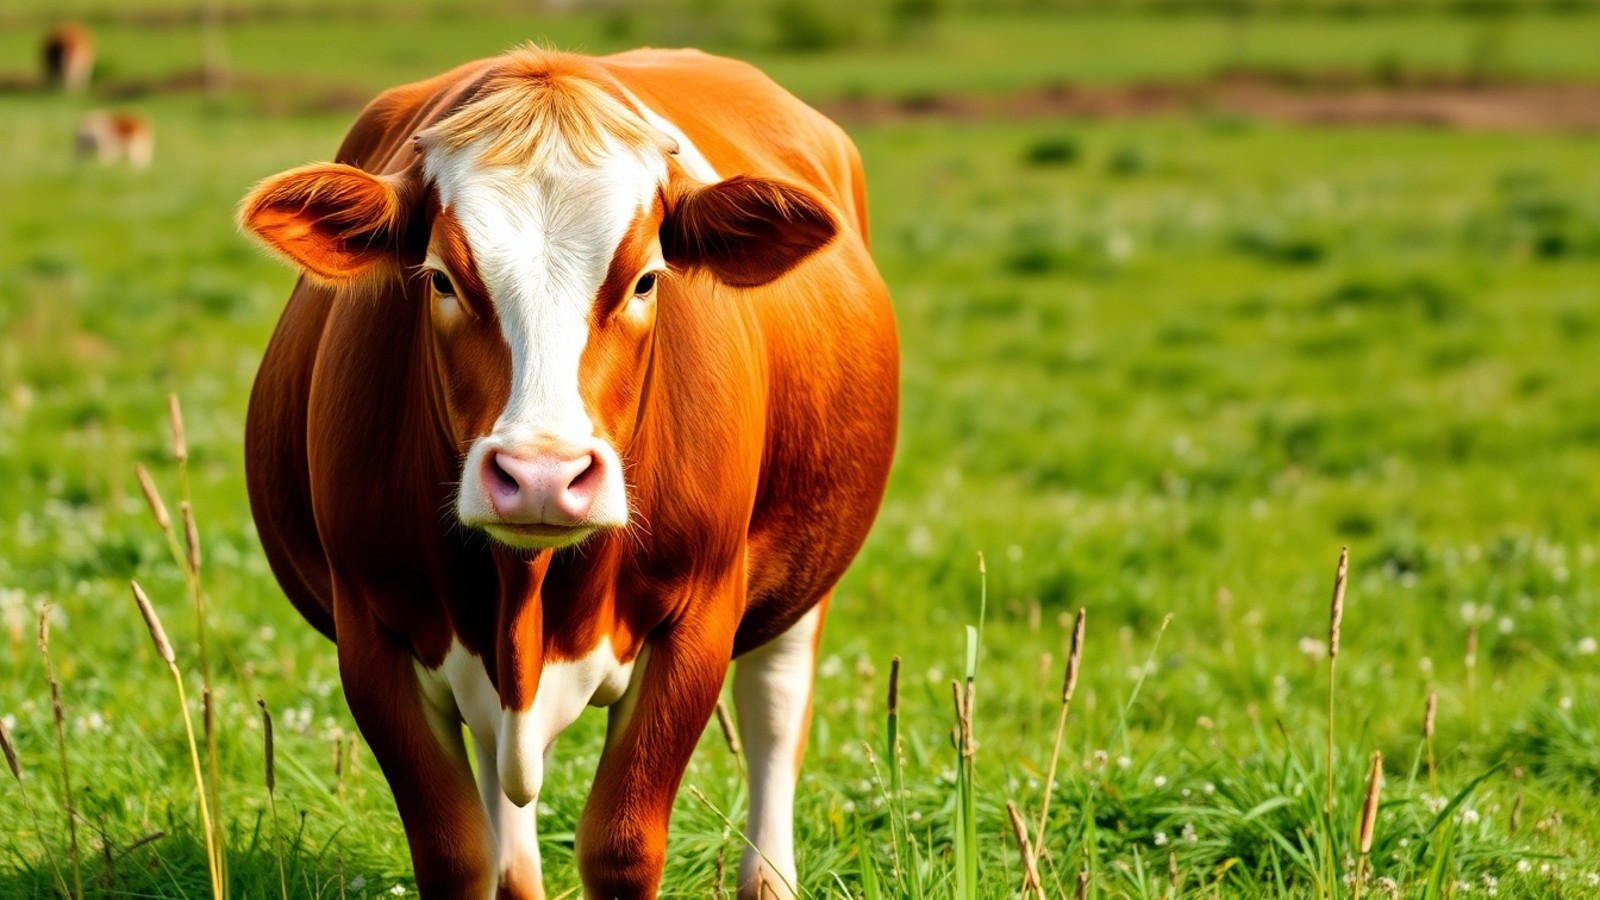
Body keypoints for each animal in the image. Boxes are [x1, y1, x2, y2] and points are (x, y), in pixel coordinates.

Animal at [237, 47, 898, 899]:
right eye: (442, 278)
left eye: (646, 278)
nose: (542, 474)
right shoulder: (370, 628)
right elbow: (457, 854)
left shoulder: (699, 618)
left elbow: (621, 847)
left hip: (802, 581)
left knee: (774, 712)